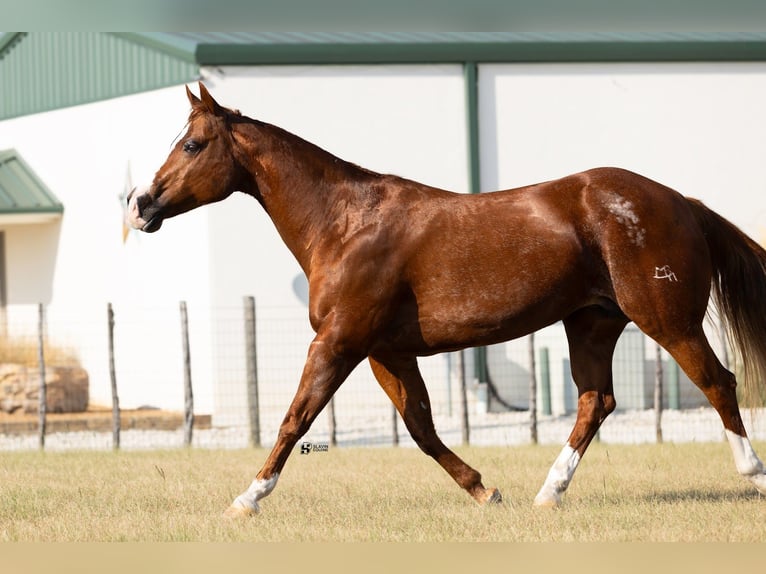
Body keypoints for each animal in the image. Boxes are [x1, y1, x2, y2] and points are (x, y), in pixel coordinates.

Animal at [127, 82, 766, 516]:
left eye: (192, 144)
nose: (139, 204)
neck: (345, 223)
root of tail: (681, 201)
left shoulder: (338, 341)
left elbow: (294, 420)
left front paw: (248, 498)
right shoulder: (386, 350)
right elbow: (421, 426)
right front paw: (485, 489)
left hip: (667, 320)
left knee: (718, 383)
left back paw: (753, 473)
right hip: (591, 322)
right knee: (596, 402)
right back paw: (547, 492)